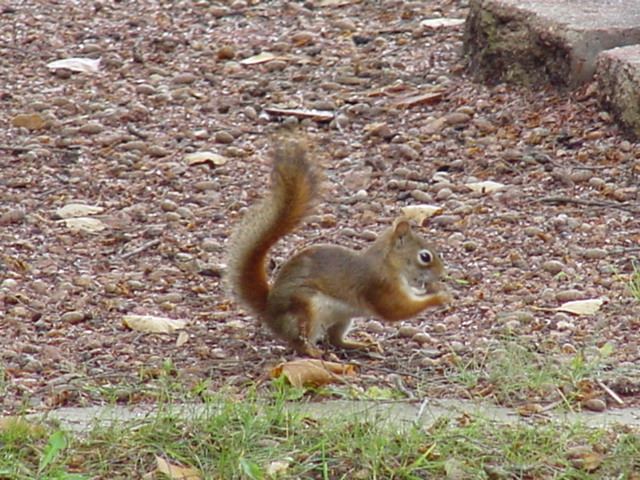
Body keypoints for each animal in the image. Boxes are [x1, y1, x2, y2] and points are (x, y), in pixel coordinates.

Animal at [226, 138, 450, 357]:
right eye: (425, 257)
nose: (442, 274)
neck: (390, 264)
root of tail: (269, 309)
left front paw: (436, 290)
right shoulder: (380, 285)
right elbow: (396, 310)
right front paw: (439, 297)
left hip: (343, 318)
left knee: (336, 339)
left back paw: (362, 345)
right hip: (307, 309)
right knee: (299, 341)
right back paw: (314, 352)